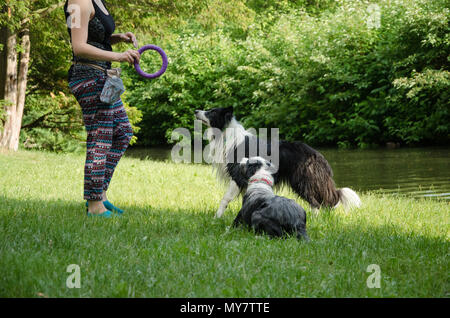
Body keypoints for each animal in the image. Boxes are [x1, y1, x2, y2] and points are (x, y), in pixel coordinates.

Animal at [194, 105, 362, 217]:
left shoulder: (237, 175)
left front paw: (217, 217)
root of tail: (317, 155)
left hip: (302, 180)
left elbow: (225, 198)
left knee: (315, 201)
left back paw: (315, 219)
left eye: (212, 112)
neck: (224, 133)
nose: (196, 111)